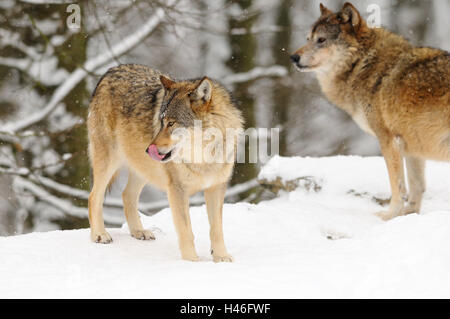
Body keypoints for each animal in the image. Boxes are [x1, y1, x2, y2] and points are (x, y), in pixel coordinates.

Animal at [87, 64, 243, 262]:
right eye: (161, 122)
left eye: (171, 123)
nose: (148, 149)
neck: (203, 157)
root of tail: (111, 70)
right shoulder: (177, 190)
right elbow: (186, 231)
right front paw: (192, 261)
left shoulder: (216, 187)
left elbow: (216, 229)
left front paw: (221, 258)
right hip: (109, 161)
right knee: (94, 196)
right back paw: (99, 234)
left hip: (142, 169)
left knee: (126, 195)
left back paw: (138, 231)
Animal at [290, 2, 448, 221]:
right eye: (307, 39)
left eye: (321, 40)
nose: (293, 57)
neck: (363, 63)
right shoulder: (412, 146)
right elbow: (417, 187)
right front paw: (408, 217)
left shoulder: (388, 140)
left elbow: (398, 187)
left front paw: (389, 217)